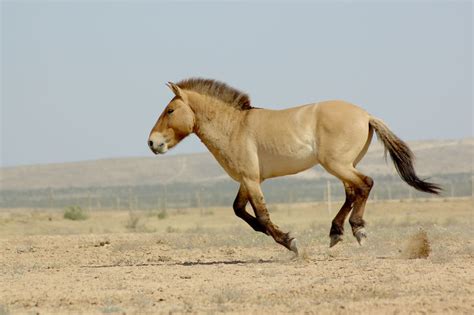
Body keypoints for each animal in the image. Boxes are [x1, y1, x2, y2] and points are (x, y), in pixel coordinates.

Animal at [148, 78, 440, 254]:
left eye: (170, 111)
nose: (152, 143)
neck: (234, 127)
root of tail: (366, 115)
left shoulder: (251, 179)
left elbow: (261, 215)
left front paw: (291, 242)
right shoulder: (248, 180)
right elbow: (240, 211)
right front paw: (279, 236)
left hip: (337, 164)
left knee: (365, 184)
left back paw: (358, 230)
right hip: (344, 165)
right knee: (352, 192)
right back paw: (337, 233)